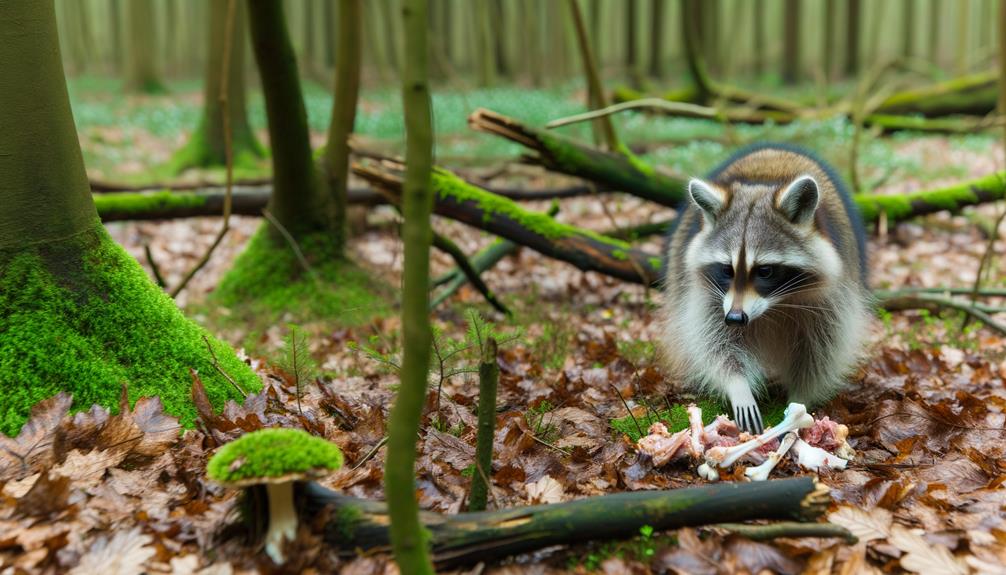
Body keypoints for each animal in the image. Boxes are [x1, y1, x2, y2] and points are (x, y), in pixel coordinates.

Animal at [659, 143, 873, 430]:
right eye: (727, 270)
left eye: (765, 271)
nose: (735, 318)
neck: (773, 306)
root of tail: (772, 149)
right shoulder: (710, 298)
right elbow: (717, 346)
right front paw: (738, 387)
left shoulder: (832, 300)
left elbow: (819, 353)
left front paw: (799, 401)